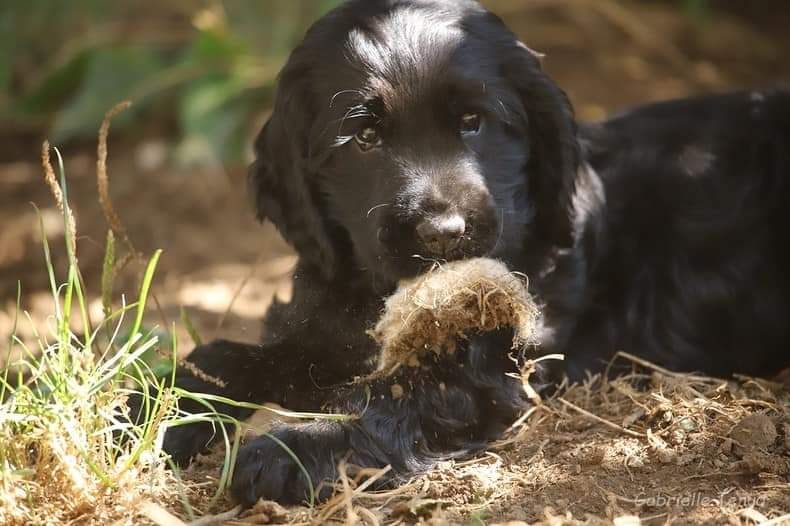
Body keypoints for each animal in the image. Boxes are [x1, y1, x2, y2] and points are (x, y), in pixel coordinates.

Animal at [167, 0, 790, 508]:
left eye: (473, 122)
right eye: (365, 138)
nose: (442, 232)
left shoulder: (496, 370)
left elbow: (399, 390)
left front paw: (291, 449)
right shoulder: (317, 326)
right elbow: (233, 356)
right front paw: (163, 407)